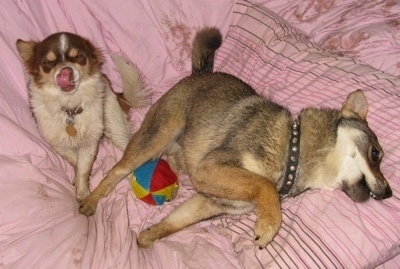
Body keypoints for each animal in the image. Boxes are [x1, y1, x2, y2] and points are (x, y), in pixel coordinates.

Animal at [16, 31, 152, 201]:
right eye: (48, 63)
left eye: (79, 57)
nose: (65, 71)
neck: (70, 107)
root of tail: (118, 95)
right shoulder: (58, 143)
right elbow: (75, 161)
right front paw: (79, 181)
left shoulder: (91, 141)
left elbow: (84, 167)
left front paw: (83, 192)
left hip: (114, 125)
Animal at [77, 27, 390, 247]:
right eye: (376, 153)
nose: (388, 193)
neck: (294, 149)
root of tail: (200, 73)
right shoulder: (213, 167)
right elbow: (263, 185)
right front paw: (269, 224)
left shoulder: (209, 201)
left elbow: (174, 224)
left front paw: (148, 237)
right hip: (153, 138)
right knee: (117, 170)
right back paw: (91, 200)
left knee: (173, 159)